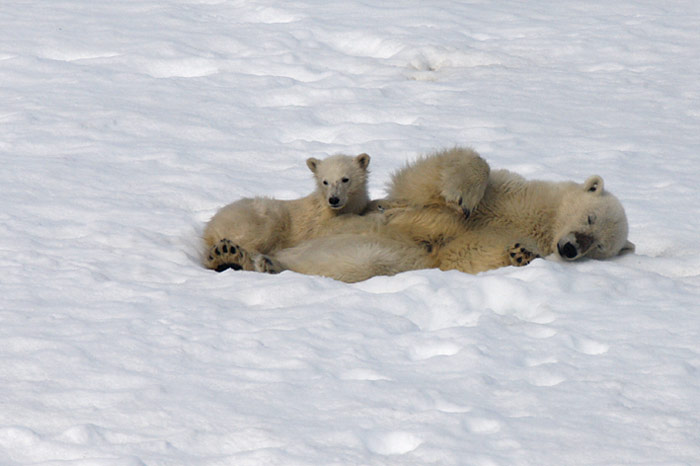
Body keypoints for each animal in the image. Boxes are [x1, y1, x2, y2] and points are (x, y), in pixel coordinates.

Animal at [223, 147, 636, 282]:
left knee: (353, 262)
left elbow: (465, 253)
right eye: (590, 219)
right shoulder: (513, 194)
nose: (570, 249)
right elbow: (428, 181)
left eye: (599, 247)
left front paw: (520, 254)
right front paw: (462, 192)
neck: (541, 221)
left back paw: (256, 260)